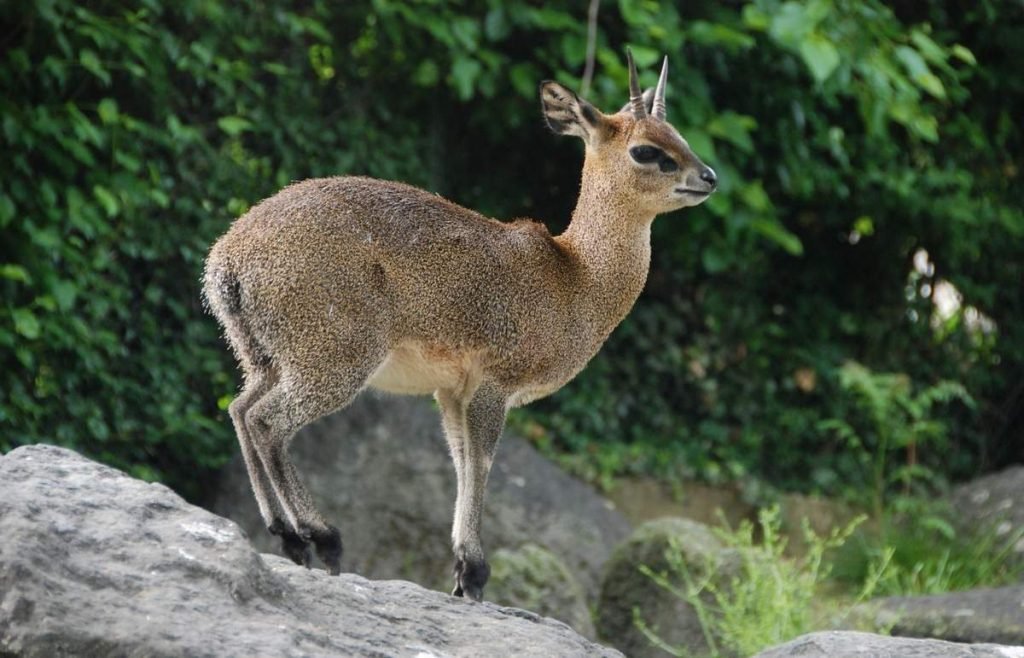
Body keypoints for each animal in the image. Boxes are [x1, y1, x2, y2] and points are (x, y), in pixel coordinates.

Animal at [199, 52, 712, 601]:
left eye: (678, 133)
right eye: (646, 150)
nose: (709, 176)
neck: (575, 277)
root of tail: (226, 260)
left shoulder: (450, 390)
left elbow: (461, 460)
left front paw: (462, 577)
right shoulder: (493, 385)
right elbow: (483, 462)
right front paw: (475, 573)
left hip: (266, 358)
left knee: (239, 409)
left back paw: (290, 539)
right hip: (333, 360)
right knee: (267, 420)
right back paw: (323, 538)